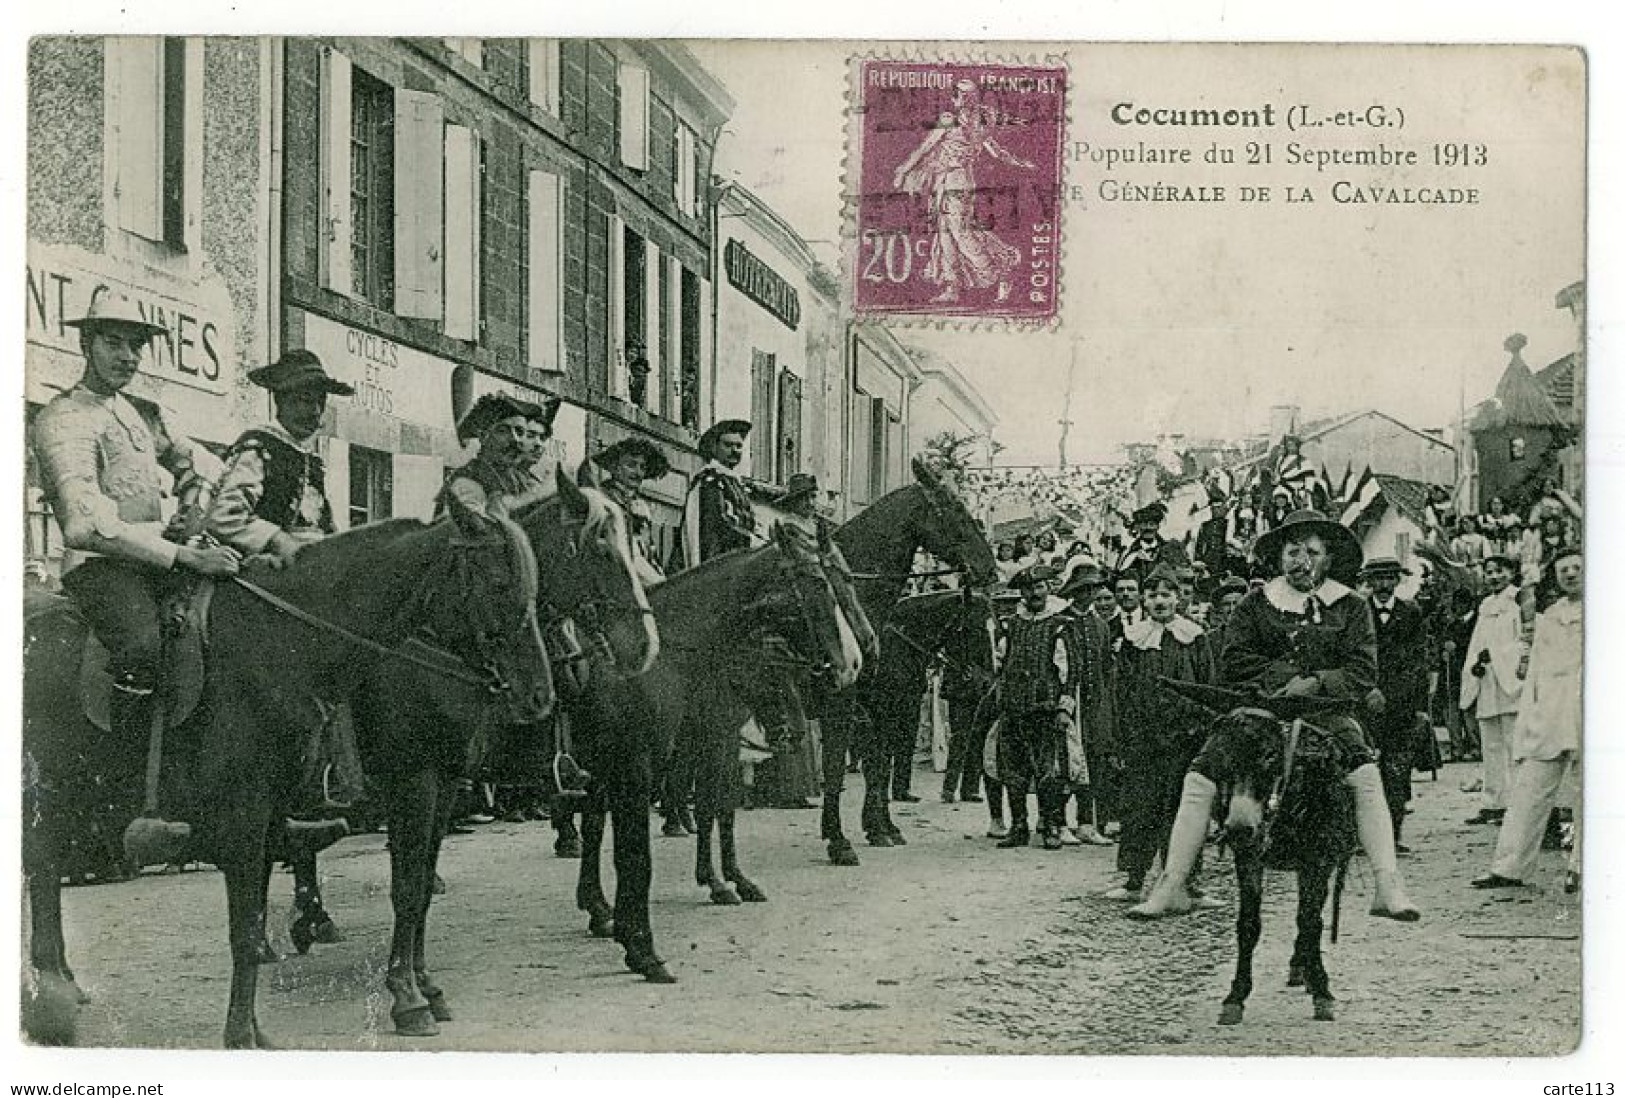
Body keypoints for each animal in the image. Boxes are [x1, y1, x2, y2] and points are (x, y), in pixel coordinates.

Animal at [286, 471, 659, 1039]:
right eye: (599, 548)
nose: (643, 644)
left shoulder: (445, 780)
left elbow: (420, 883)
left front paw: (426, 986)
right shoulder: (416, 781)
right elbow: (407, 885)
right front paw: (407, 997)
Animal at [568, 523, 871, 981]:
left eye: (845, 580)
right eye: (821, 582)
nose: (854, 660)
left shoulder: (710, 741)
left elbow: (718, 807)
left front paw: (728, 880)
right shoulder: (673, 754)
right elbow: (664, 837)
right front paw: (650, 941)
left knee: (592, 819)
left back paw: (598, 908)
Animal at [819, 458, 994, 864]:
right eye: (955, 510)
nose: (990, 567)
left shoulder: (885, 708)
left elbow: (878, 764)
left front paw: (881, 827)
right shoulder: (854, 705)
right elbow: (849, 766)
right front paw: (841, 839)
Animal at [1209, 708, 1358, 1026]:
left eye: (1269, 756)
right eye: (1223, 756)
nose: (1239, 829)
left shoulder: (1317, 862)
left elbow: (1310, 922)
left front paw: (1322, 991)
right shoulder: (1249, 858)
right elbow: (1248, 925)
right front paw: (1235, 997)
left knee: (1311, 917)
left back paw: (1304, 969)